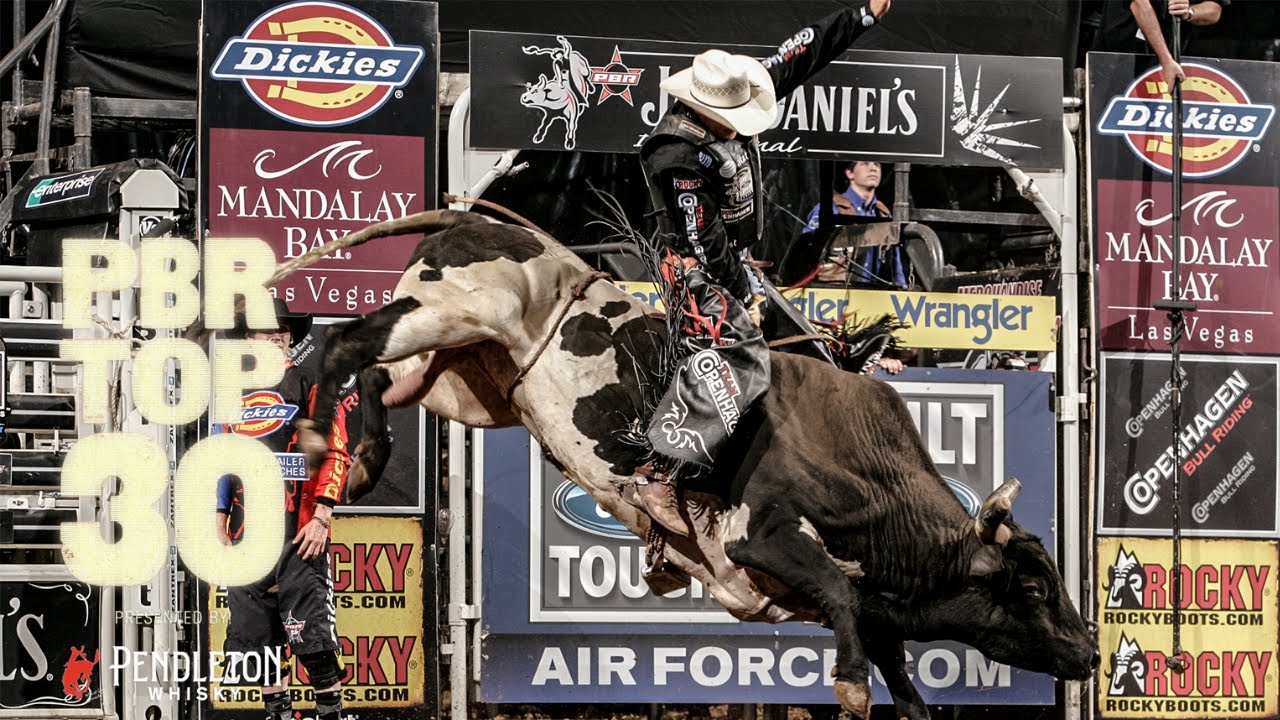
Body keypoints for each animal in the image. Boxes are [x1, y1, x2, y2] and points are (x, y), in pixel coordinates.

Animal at [285, 208, 1095, 717]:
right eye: (1030, 587)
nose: (1088, 652)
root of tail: (468, 221)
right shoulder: (760, 536)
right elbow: (837, 594)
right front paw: (850, 687)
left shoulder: (878, 612)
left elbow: (900, 672)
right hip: (454, 313)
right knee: (347, 343)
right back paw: (324, 445)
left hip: (459, 377)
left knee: (378, 377)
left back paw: (364, 459)